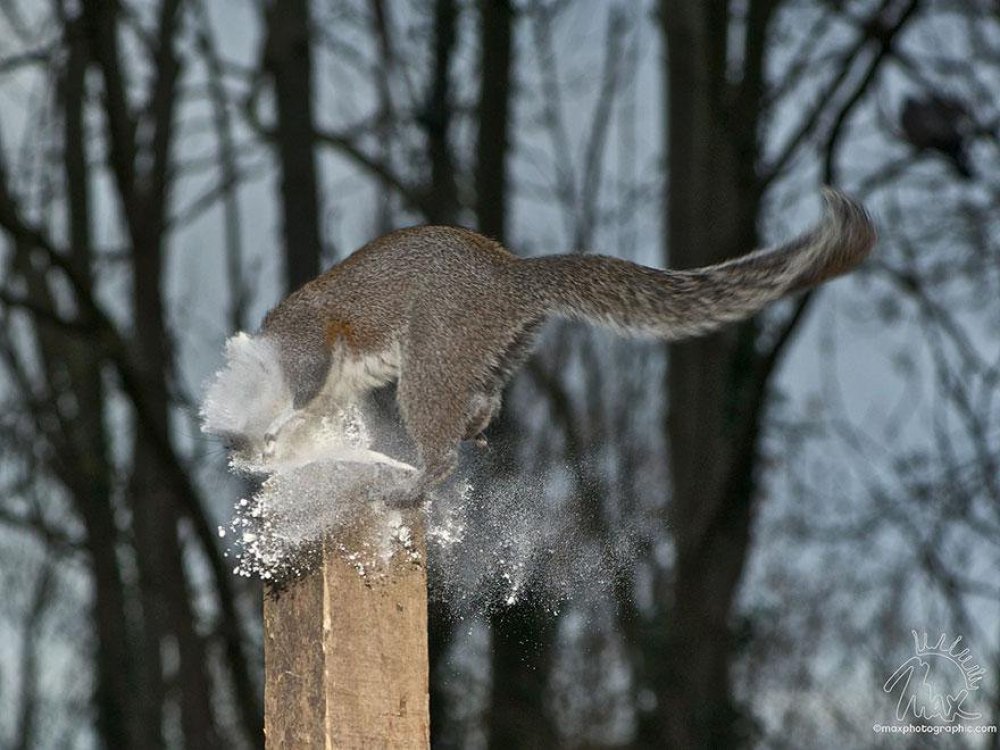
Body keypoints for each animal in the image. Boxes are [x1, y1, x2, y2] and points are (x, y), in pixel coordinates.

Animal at [203, 188, 876, 506]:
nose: (239, 448)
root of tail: (515, 279)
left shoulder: (309, 346)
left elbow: (301, 391)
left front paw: (276, 434)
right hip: (485, 352)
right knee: (485, 403)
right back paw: (472, 432)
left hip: (435, 353)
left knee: (442, 443)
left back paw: (414, 486)